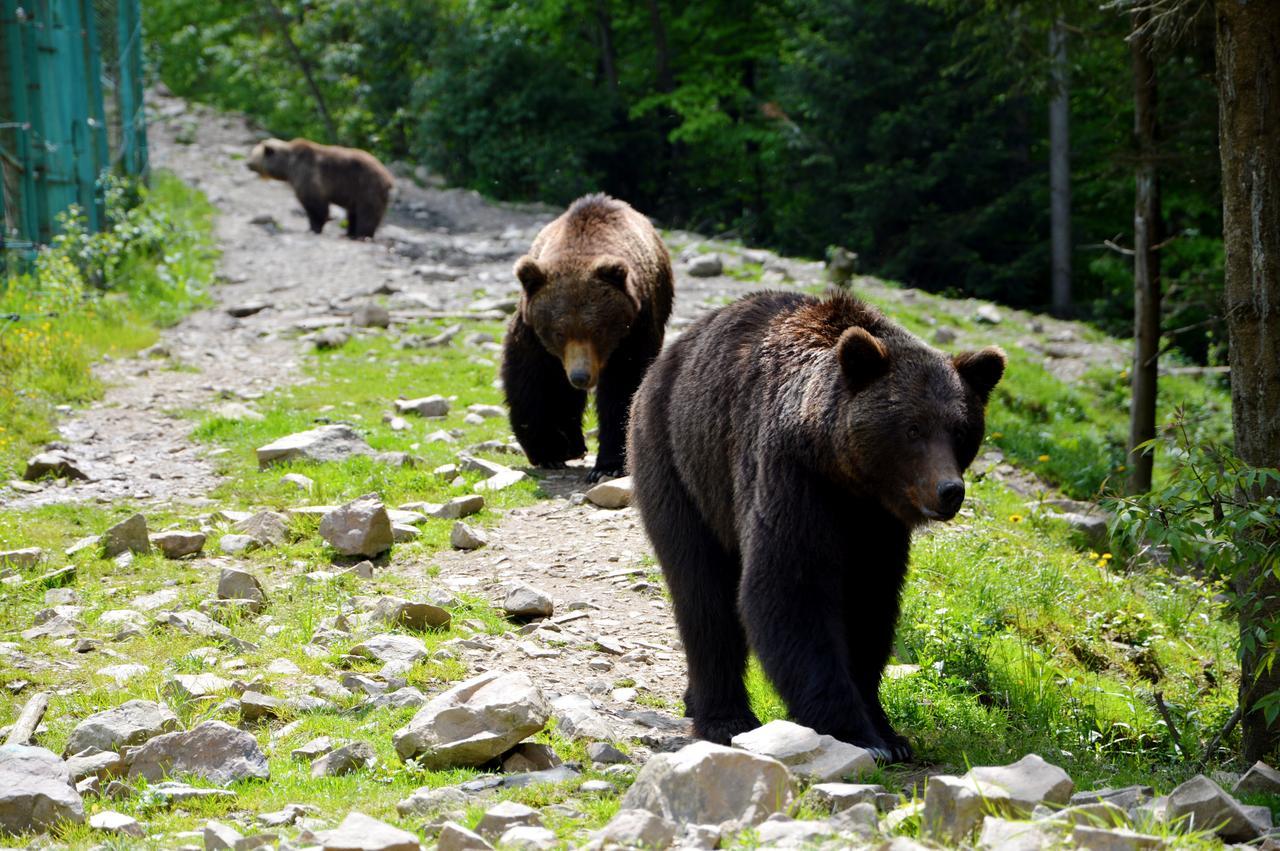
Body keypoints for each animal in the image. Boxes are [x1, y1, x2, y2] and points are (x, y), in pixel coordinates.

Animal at [245, 137, 394, 239]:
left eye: (253, 154)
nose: (247, 164)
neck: (288, 167)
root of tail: (389, 178)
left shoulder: (308, 175)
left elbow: (315, 205)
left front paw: (313, 228)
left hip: (366, 187)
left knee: (367, 213)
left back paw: (361, 235)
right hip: (357, 193)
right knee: (354, 213)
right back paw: (349, 233)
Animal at [504, 194, 675, 481]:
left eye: (597, 329)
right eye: (559, 331)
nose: (580, 376)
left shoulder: (632, 331)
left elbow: (623, 388)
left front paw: (609, 464)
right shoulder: (533, 332)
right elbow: (535, 381)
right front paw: (550, 450)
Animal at [629, 289, 1008, 757]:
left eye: (961, 431)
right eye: (913, 428)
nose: (949, 490)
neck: (845, 476)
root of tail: (670, 356)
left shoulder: (877, 525)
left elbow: (870, 604)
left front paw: (888, 730)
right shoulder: (791, 476)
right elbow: (790, 589)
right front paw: (856, 732)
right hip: (681, 463)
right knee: (702, 592)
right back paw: (725, 716)